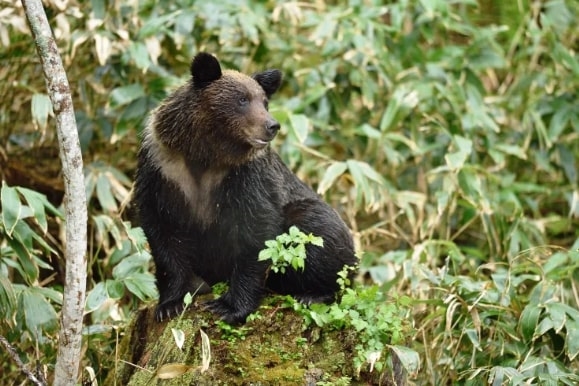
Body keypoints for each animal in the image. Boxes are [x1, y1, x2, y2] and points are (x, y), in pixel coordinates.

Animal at [134, 51, 358, 322]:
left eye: (265, 102)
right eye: (242, 99)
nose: (272, 126)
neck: (205, 154)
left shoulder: (245, 178)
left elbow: (257, 233)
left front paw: (228, 306)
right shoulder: (163, 171)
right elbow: (163, 233)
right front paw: (171, 303)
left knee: (316, 230)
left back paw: (312, 294)